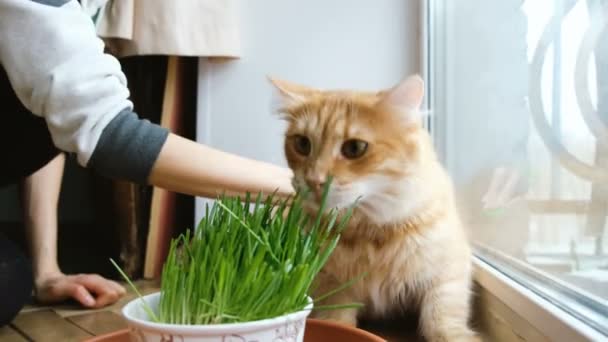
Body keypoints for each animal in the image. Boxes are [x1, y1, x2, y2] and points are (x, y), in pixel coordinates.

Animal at [272, 75, 480, 342]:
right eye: (302, 144)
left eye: (354, 148)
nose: (313, 180)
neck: (369, 231)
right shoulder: (329, 285)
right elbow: (338, 320)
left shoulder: (448, 273)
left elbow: (442, 319)